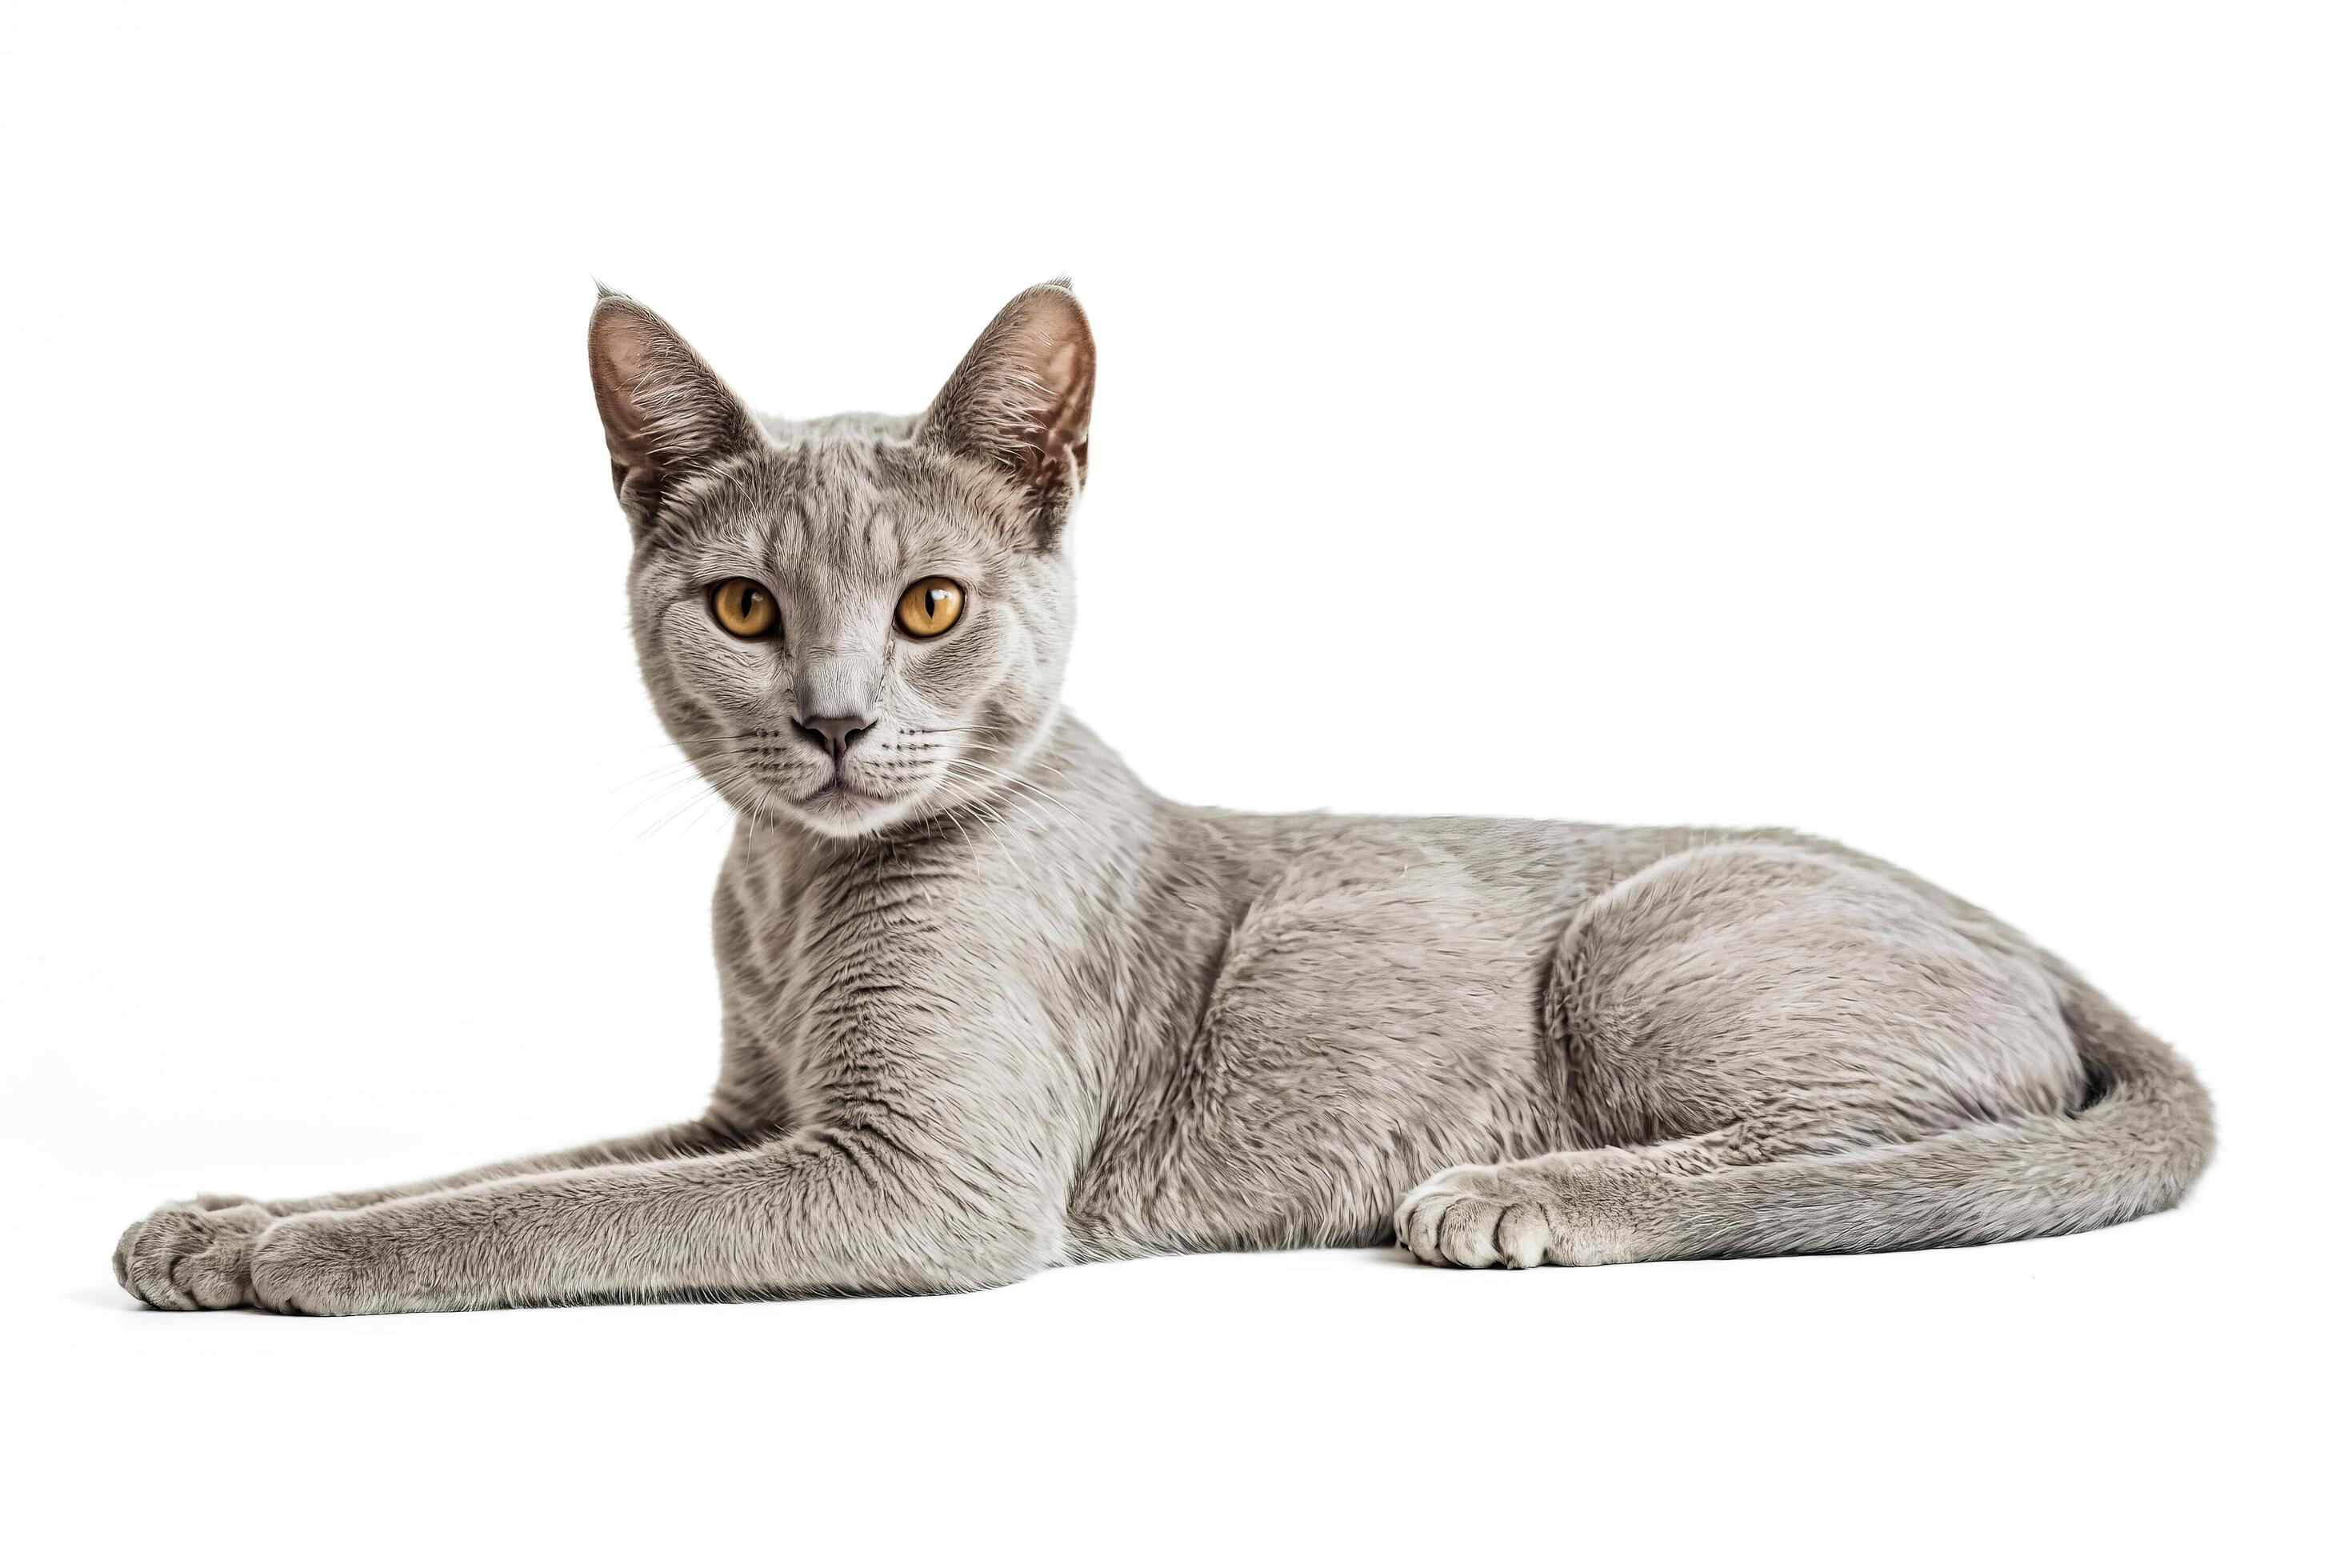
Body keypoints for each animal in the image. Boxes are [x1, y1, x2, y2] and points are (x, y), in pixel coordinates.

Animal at [106, 278, 2201, 1316]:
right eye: (747, 608)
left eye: (930, 607)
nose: (840, 722)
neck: (789, 894)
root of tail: (2045, 942)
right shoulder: (747, 1108)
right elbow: (503, 1169)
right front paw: (216, 1222)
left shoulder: (915, 1171)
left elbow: (534, 1221)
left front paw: (296, 1257)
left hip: (1645, 935)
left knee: (1881, 1159)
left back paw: (1521, 1197)